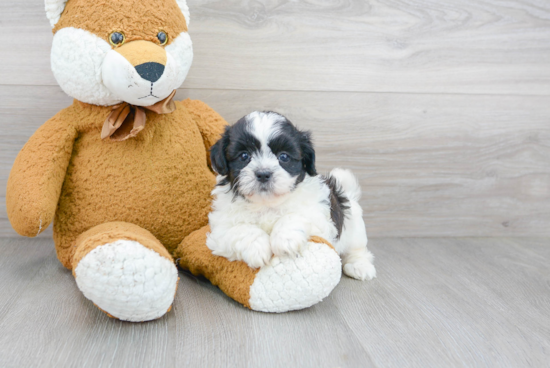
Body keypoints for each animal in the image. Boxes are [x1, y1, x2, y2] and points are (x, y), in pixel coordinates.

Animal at [208, 110, 380, 280]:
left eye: (283, 157)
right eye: (244, 156)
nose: (263, 174)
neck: (267, 204)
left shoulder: (318, 215)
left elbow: (295, 216)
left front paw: (285, 239)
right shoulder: (219, 228)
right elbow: (239, 229)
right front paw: (257, 247)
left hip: (354, 229)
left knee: (357, 250)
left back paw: (359, 266)